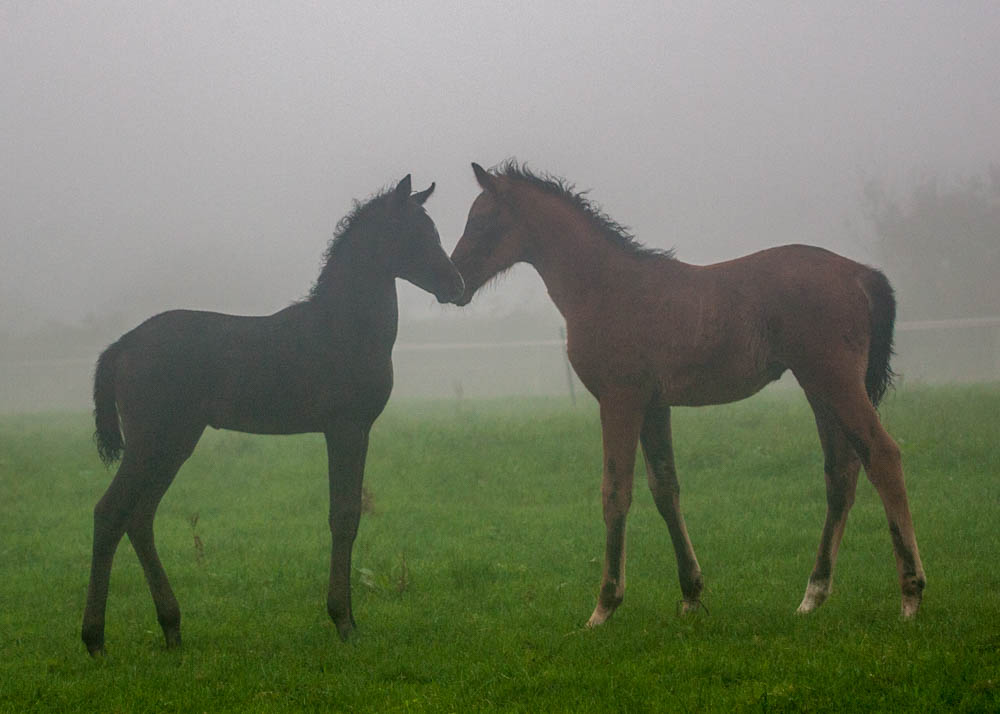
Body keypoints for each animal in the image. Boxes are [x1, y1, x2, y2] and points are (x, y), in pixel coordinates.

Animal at [83, 175, 464, 652]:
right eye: (415, 234)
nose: (457, 285)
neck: (343, 328)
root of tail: (122, 346)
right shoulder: (346, 428)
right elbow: (343, 516)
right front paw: (343, 622)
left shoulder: (353, 431)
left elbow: (349, 513)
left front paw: (351, 618)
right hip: (150, 443)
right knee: (110, 513)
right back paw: (95, 640)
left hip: (174, 443)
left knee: (139, 517)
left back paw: (172, 628)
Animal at [450, 161, 924, 624]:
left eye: (483, 220)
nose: (453, 283)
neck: (606, 287)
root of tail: (862, 274)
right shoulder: (655, 406)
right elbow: (665, 488)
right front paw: (692, 594)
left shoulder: (620, 401)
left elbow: (615, 492)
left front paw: (604, 605)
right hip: (819, 389)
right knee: (841, 472)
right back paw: (813, 594)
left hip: (834, 382)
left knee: (883, 455)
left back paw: (910, 595)